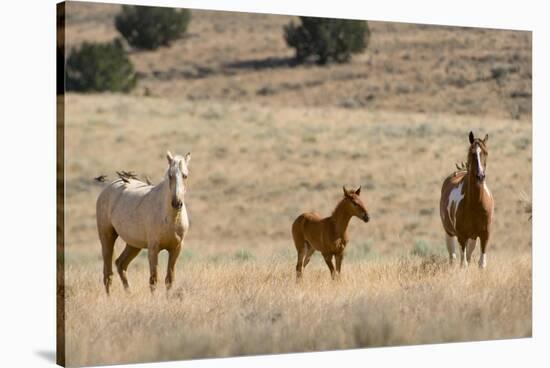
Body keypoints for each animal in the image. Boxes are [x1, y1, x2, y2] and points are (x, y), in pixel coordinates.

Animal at [95, 150, 190, 294]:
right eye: (170, 175)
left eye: (185, 175)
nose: (176, 203)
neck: (170, 219)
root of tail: (110, 186)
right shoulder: (153, 248)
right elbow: (153, 279)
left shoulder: (176, 248)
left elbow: (169, 279)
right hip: (107, 237)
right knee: (108, 274)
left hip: (133, 244)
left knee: (121, 264)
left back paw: (129, 294)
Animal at [442, 132, 498, 268]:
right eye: (471, 153)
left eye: (486, 152)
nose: (480, 176)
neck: (475, 204)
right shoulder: (462, 236)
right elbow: (464, 264)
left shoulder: (484, 234)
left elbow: (481, 263)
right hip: (449, 233)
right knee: (453, 257)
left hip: (472, 237)